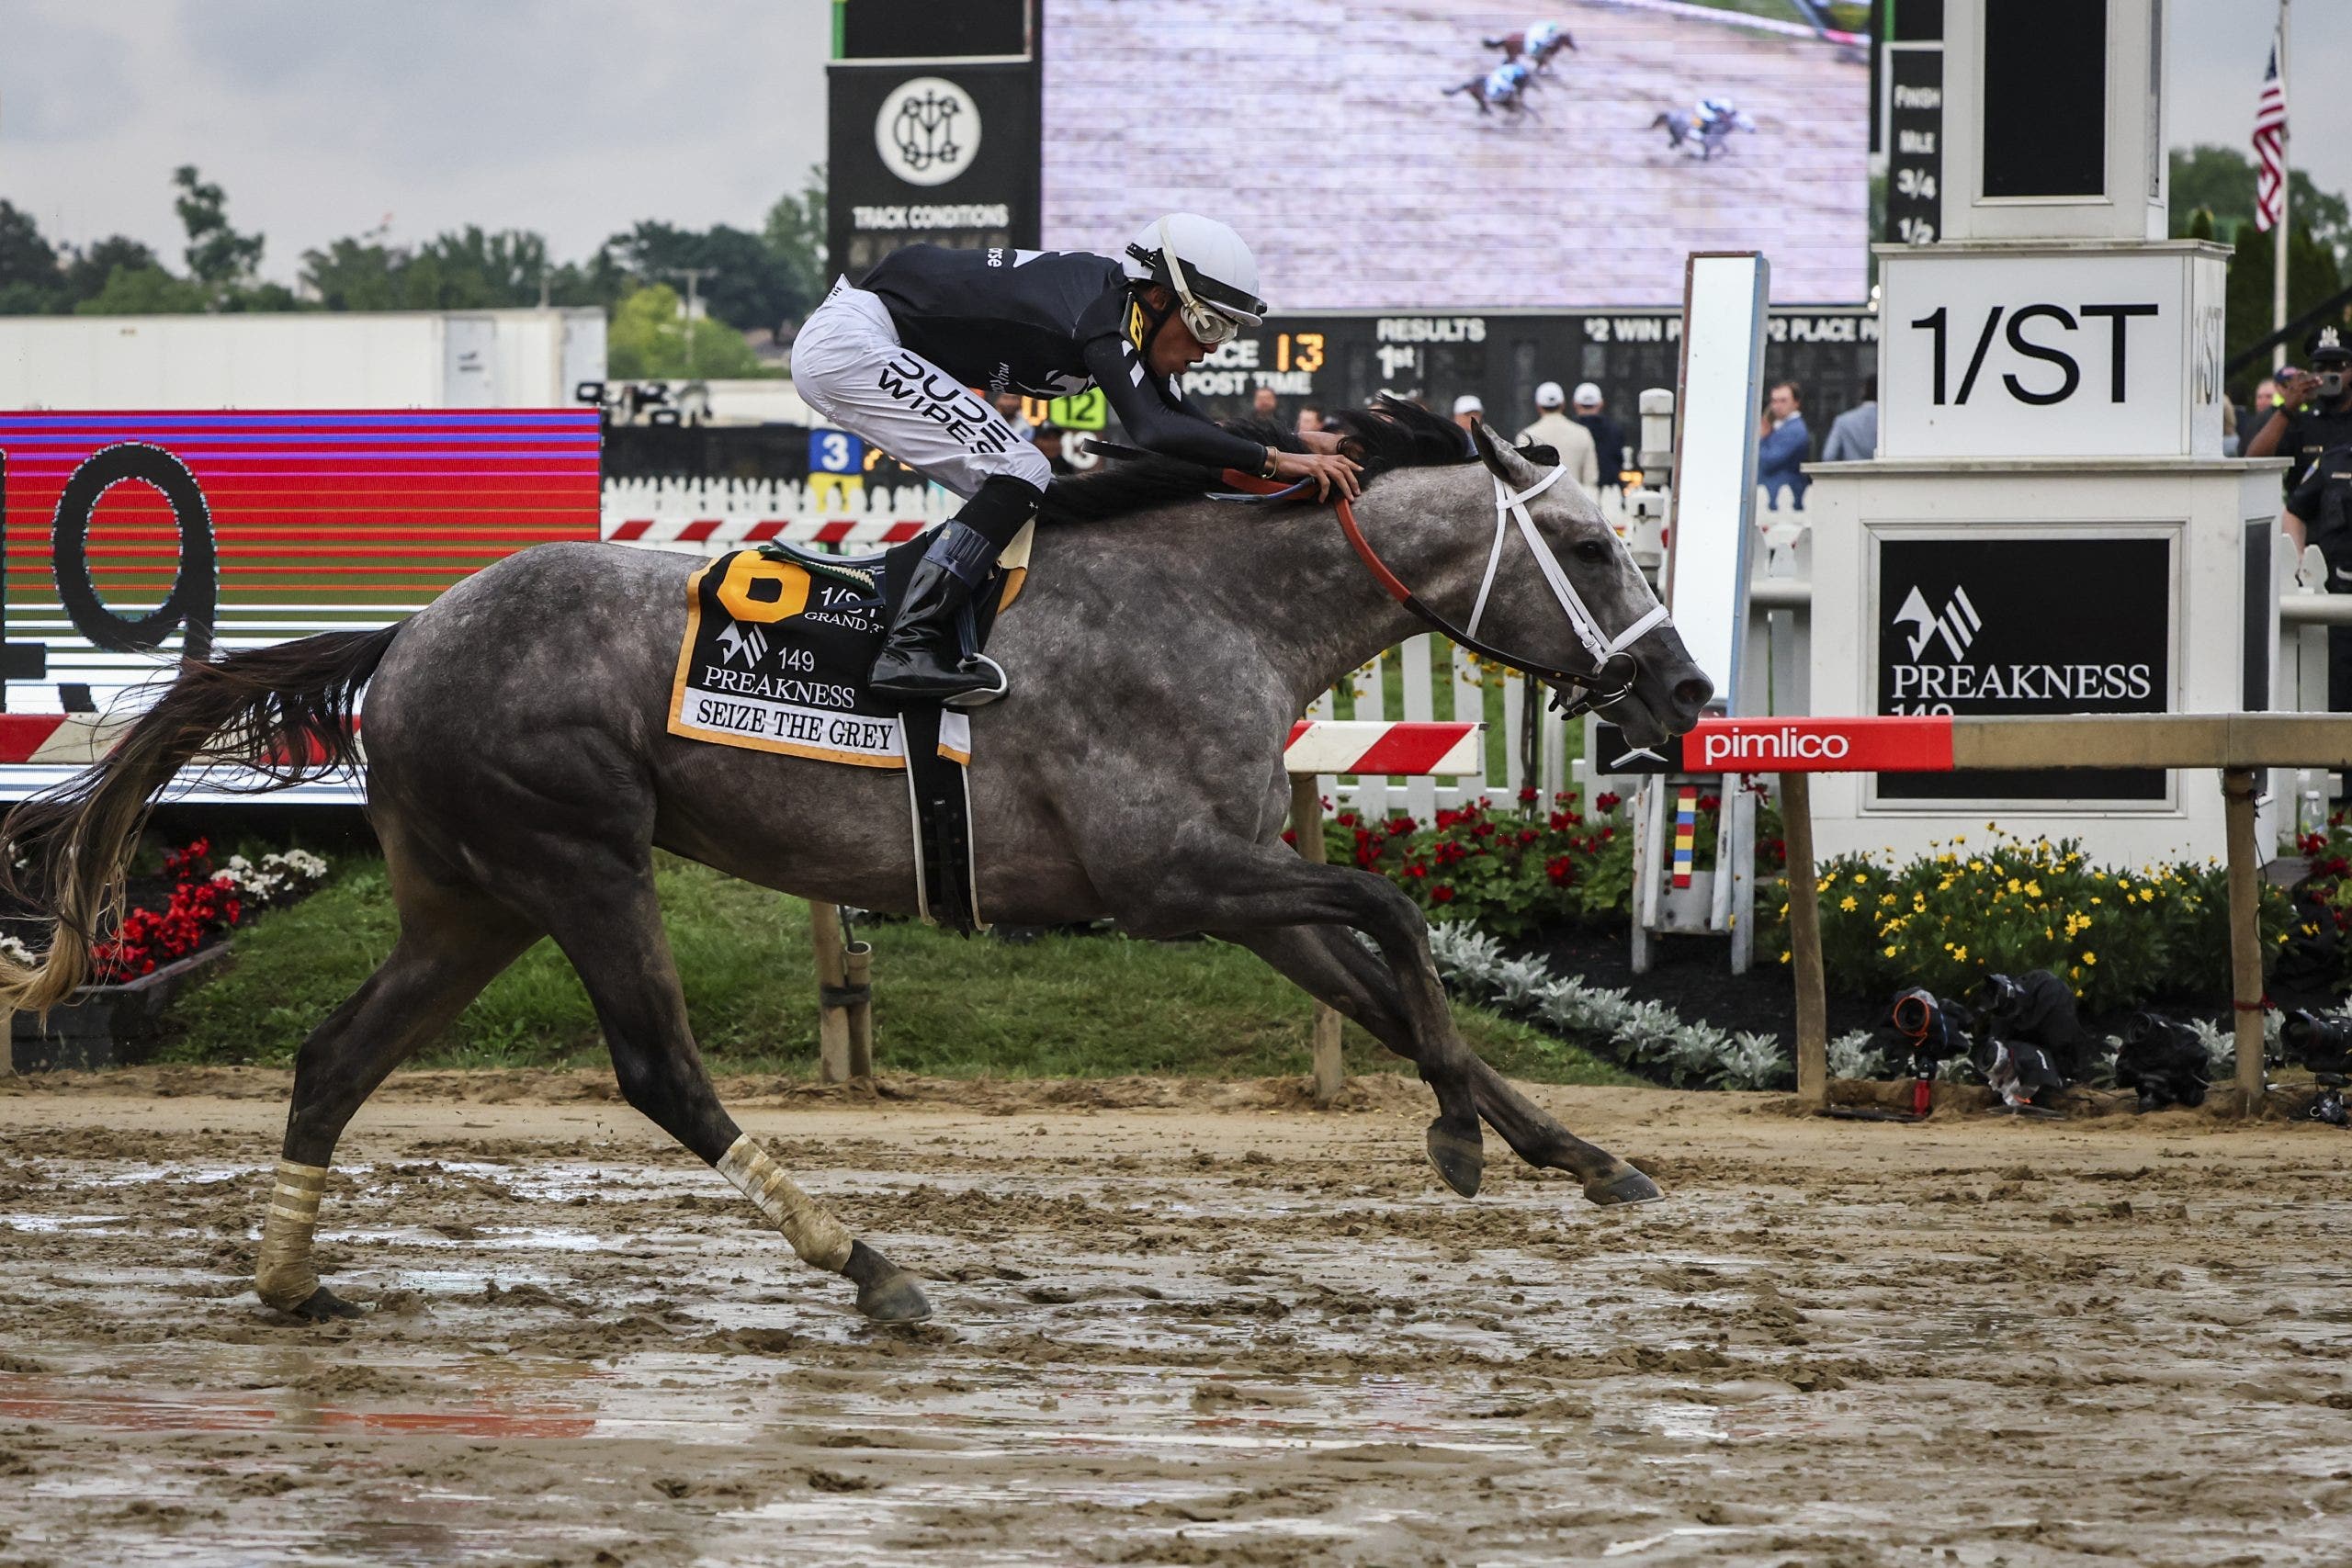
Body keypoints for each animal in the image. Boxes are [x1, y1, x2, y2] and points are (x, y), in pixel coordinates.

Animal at [0, 399, 1710, 1326]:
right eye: (1597, 546)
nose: (1687, 691)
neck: (1216, 604)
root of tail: (410, 631)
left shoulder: (1232, 882)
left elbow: (1383, 984)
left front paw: (1575, 1150)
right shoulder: (1173, 878)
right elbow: (1396, 913)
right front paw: (1461, 1139)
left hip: (470, 897)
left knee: (332, 1057)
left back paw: (291, 1280)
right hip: (581, 861)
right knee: (658, 1070)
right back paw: (867, 1262)